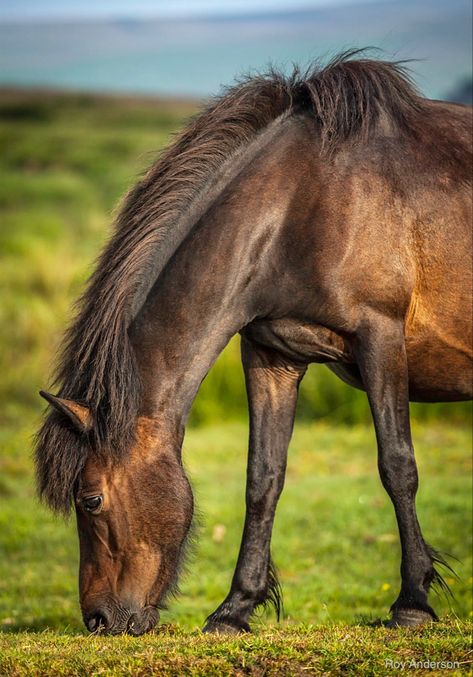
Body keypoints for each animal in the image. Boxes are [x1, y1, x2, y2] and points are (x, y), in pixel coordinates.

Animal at [35, 51, 470, 632]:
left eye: (90, 500)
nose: (99, 620)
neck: (300, 203)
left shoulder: (380, 338)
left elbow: (397, 466)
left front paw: (413, 602)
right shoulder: (272, 355)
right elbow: (263, 479)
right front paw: (234, 608)